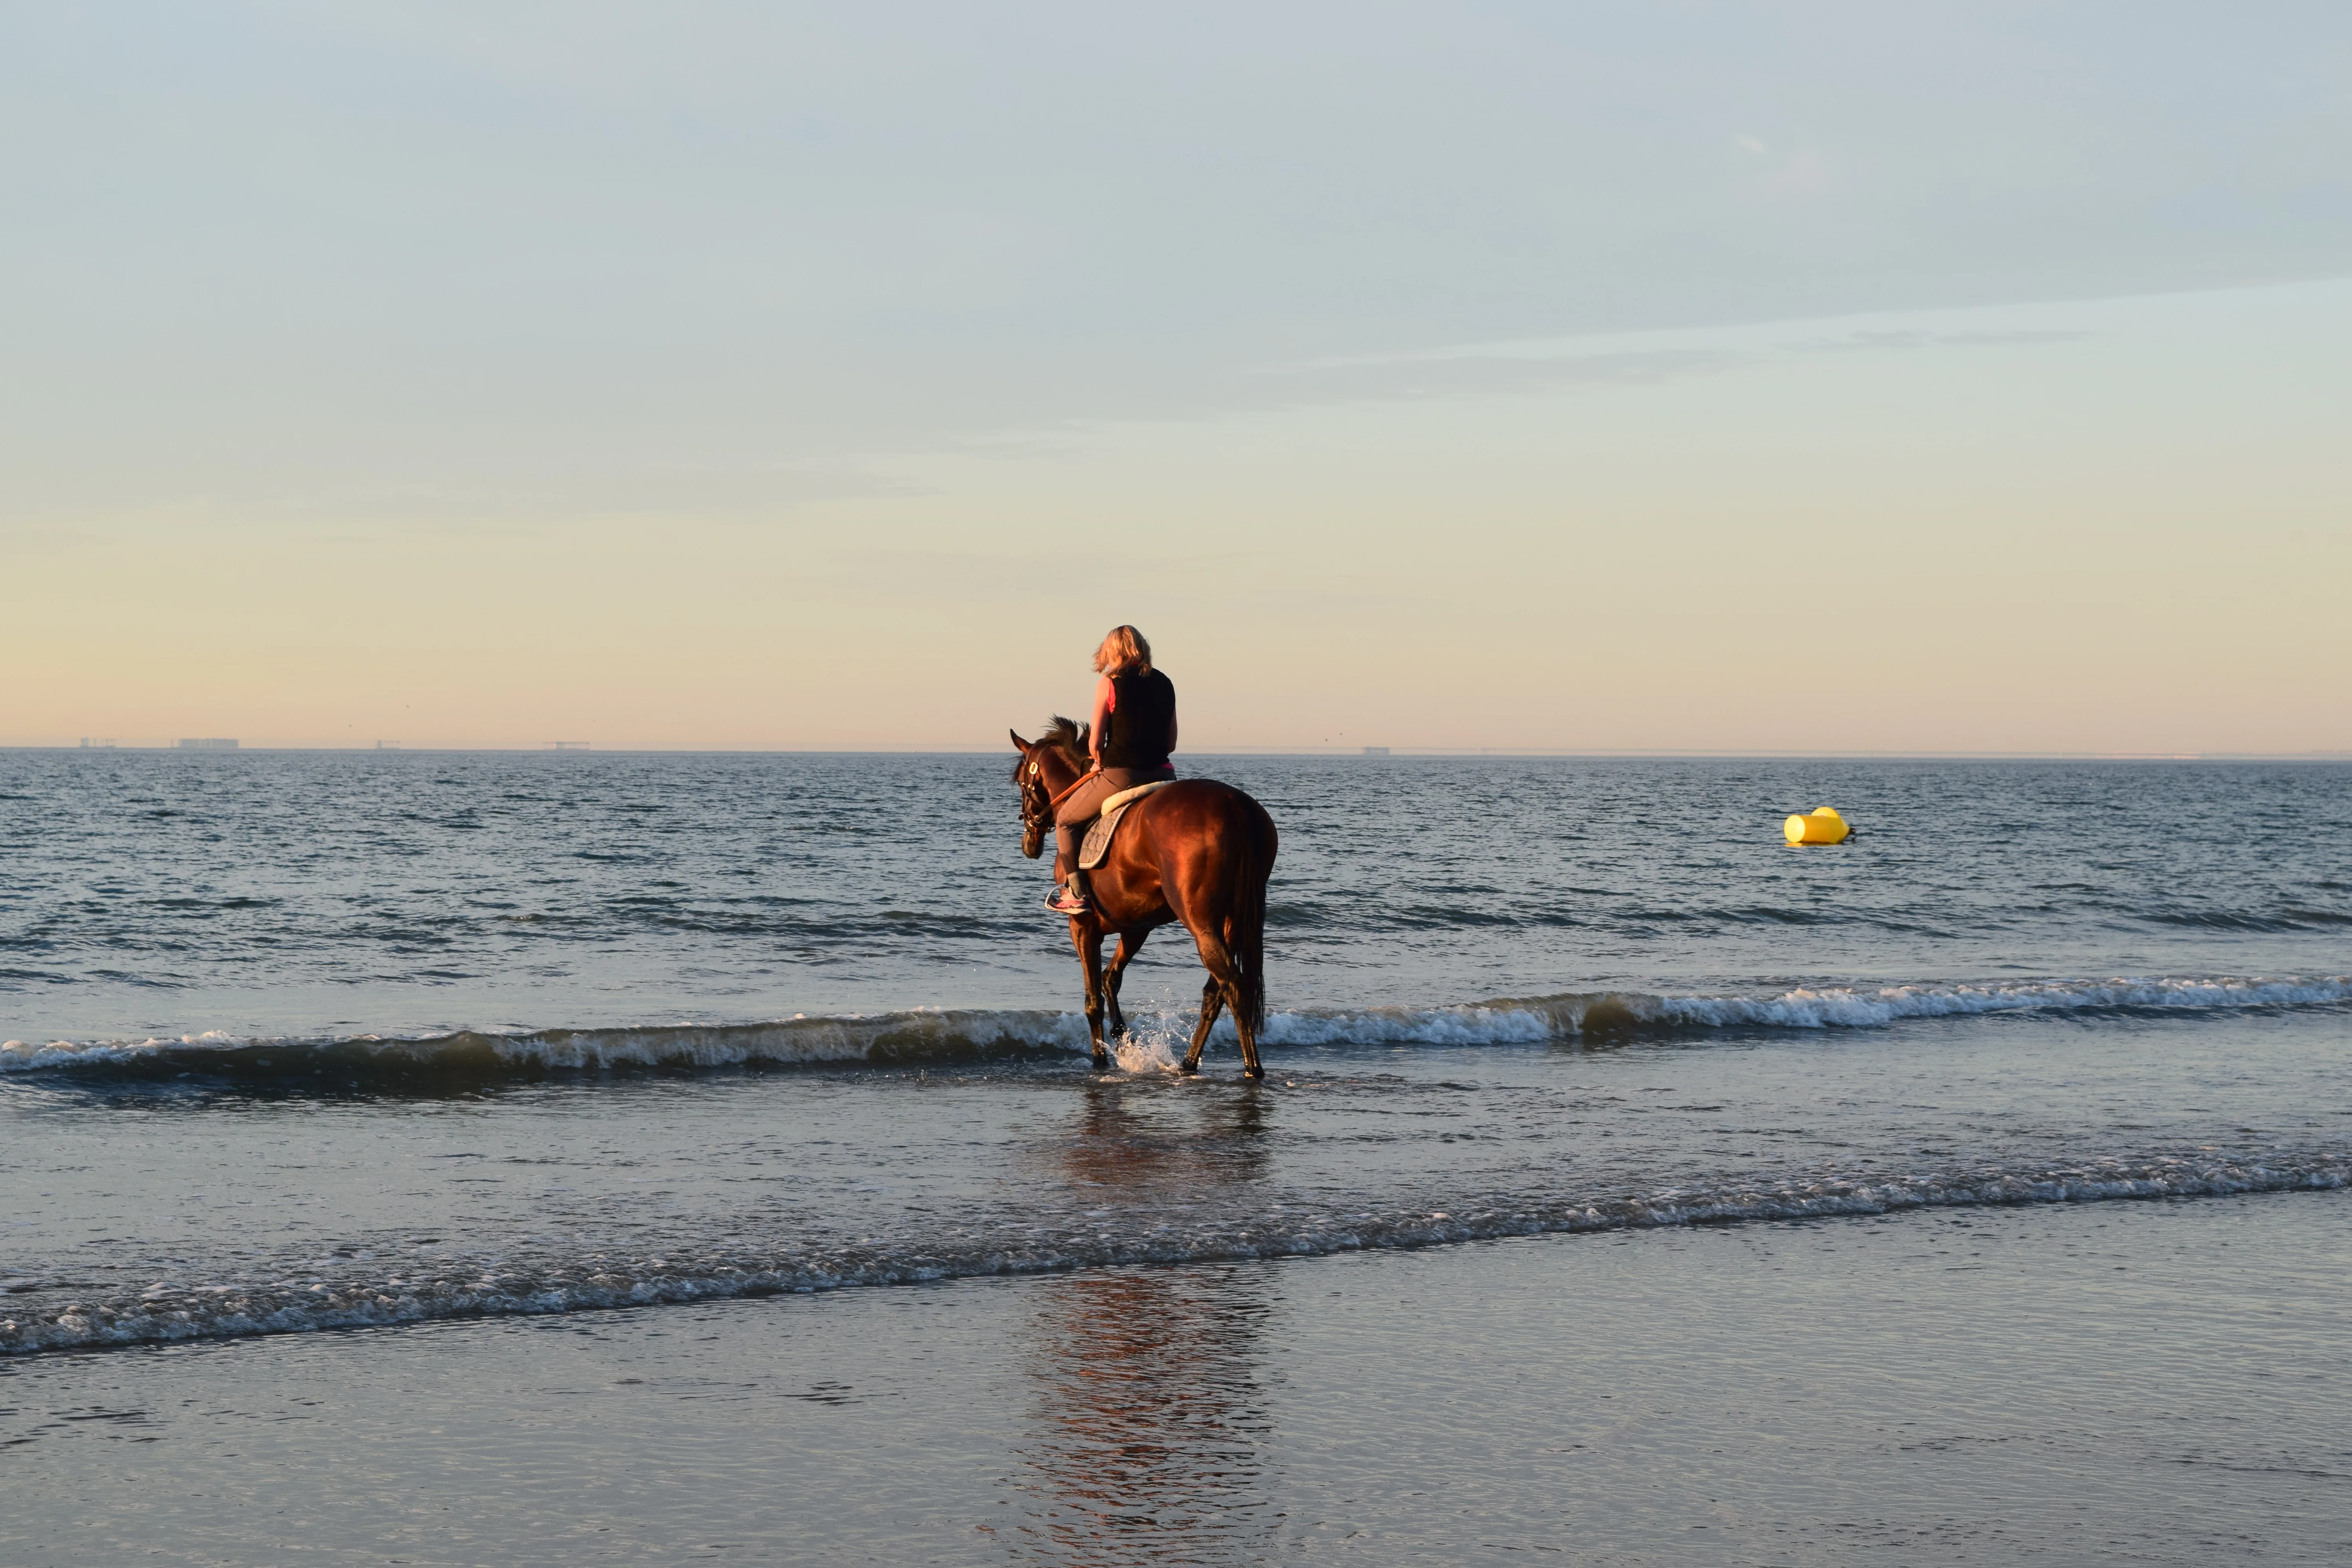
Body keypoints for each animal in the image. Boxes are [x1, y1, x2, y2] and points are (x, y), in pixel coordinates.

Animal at [1010, 719, 1278, 1077]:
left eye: (1021, 781)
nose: (1030, 841)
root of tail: (1235, 806)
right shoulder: (1136, 927)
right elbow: (1111, 979)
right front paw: (1122, 1038)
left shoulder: (1082, 927)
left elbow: (1093, 1000)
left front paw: (1101, 1059)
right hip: (1233, 922)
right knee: (1216, 991)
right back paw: (1189, 1063)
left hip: (1202, 923)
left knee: (1233, 985)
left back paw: (1252, 1068)